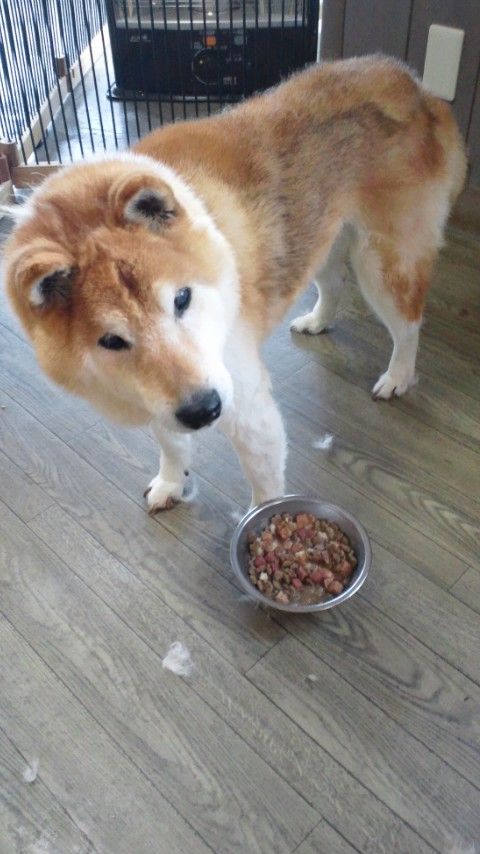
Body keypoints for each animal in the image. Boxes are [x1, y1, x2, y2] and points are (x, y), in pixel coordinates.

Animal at [3, 55, 466, 512]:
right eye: (112, 341)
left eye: (182, 299)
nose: (203, 411)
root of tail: (415, 87)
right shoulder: (160, 402)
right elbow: (172, 445)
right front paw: (171, 482)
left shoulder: (246, 403)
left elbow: (264, 485)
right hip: (316, 237)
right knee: (333, 285)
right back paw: (318, 321)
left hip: (382, 265)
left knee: (408, 326)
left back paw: (398, 376)